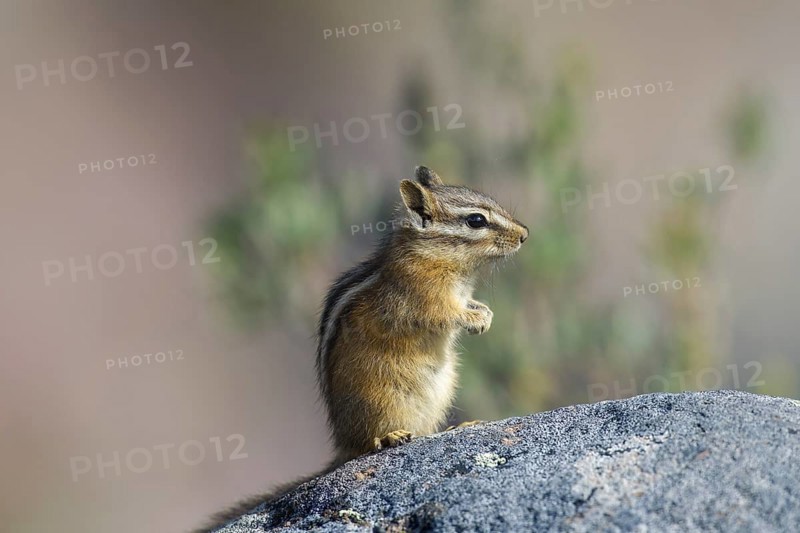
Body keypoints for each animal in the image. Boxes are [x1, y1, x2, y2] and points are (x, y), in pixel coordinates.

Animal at [196, 166, 528, 532]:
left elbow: (469, 304)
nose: (525, 235)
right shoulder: (423, 296)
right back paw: (389, 438)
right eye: (475, 220)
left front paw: (485, 314)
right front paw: (476, 320)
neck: (435, 256)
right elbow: (444, 314)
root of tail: (342, 442)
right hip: (379, 400)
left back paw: (458, 427)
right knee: (368, 445)